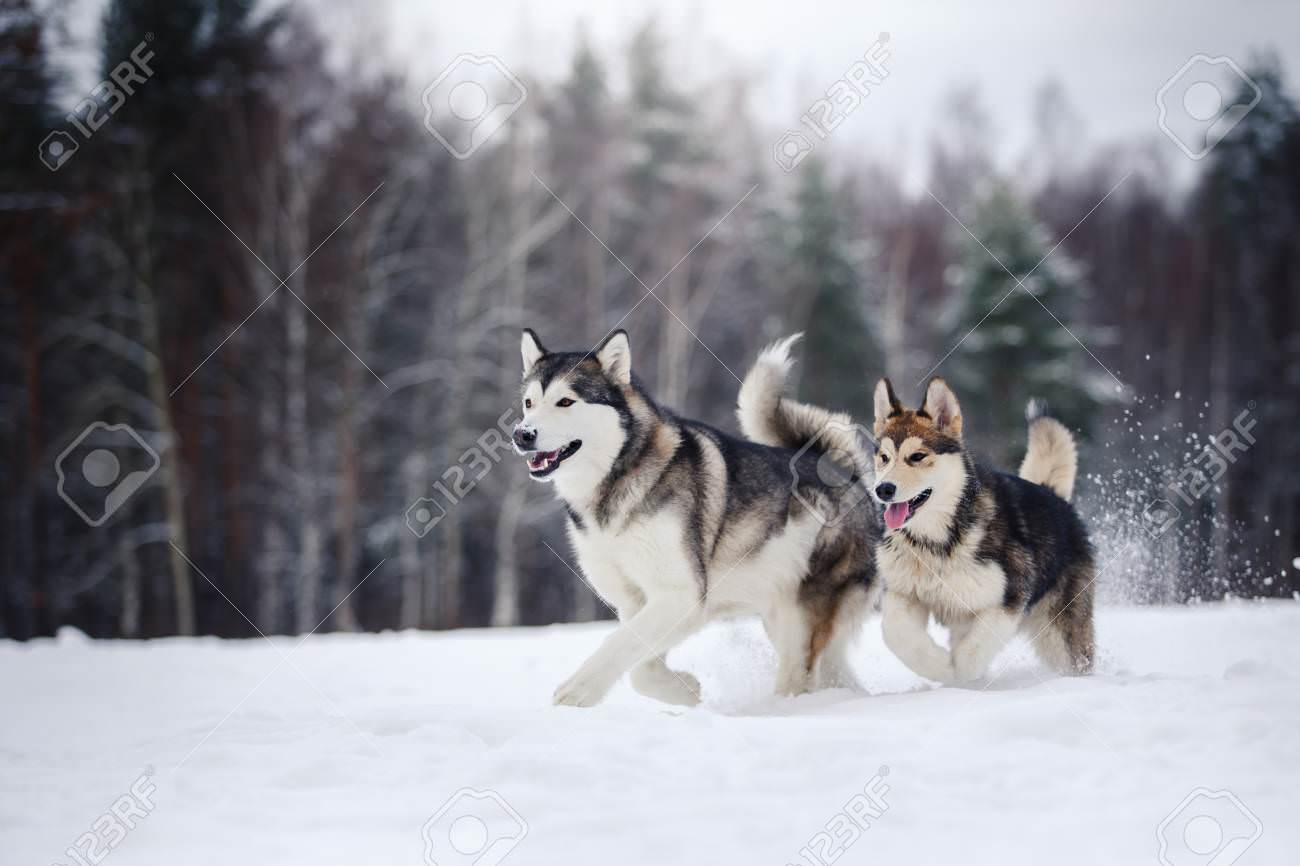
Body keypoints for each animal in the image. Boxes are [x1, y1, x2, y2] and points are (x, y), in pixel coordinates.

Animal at [512, 327, 878, 707]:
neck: (617, 477)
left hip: (801, 620)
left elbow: (617, 646)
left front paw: (576, 692)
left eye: (565, 402)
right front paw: (685, 690)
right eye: (529, 403)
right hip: (783, 617)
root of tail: (848, 474)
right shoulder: (637, 602)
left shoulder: (681, 595)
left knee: (799, 675)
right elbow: (639, 668)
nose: (522, 434)